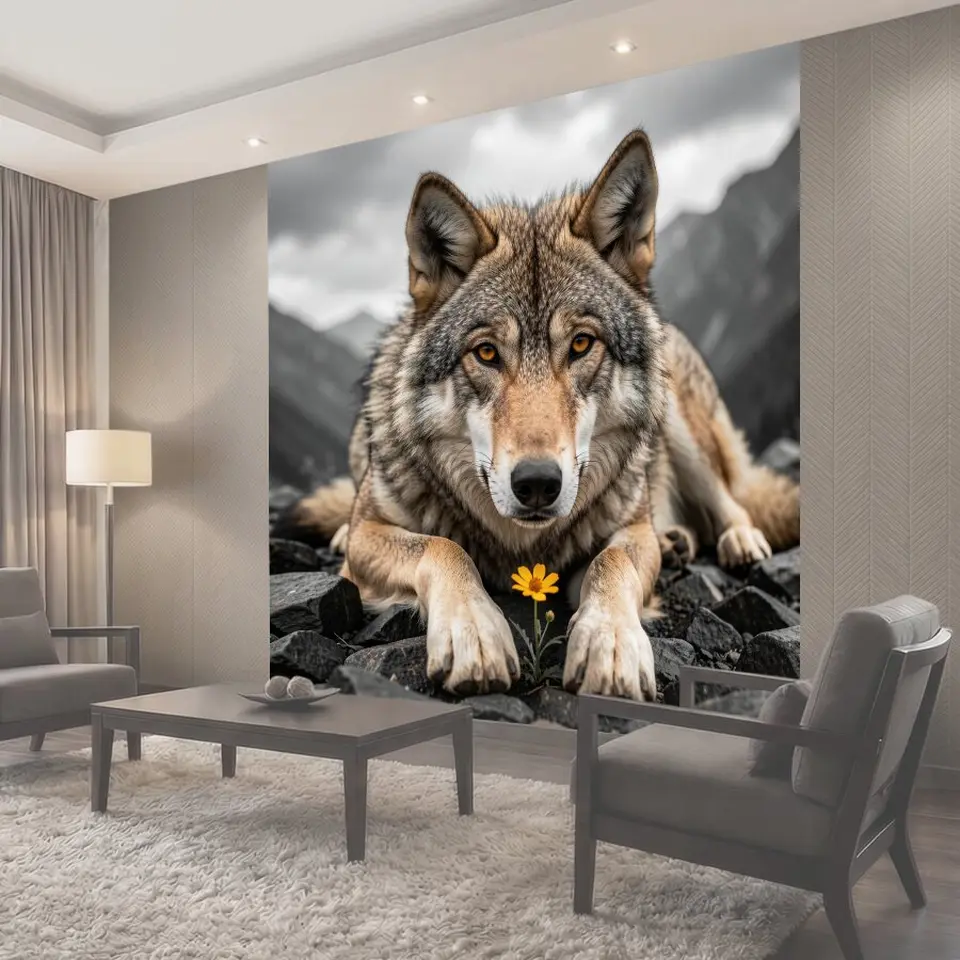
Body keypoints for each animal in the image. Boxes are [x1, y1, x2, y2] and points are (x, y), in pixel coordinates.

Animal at [282, 129, 799, 702]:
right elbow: (442, 546)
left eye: (581, 344)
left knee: (729, 497)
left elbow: (610, 563)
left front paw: (611, 644)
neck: (520, 545)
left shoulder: (629, 535)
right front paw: (475, 632)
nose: (536, 484)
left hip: (681, 427)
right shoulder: (370, 538)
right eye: (486, 353)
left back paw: (735, 540)